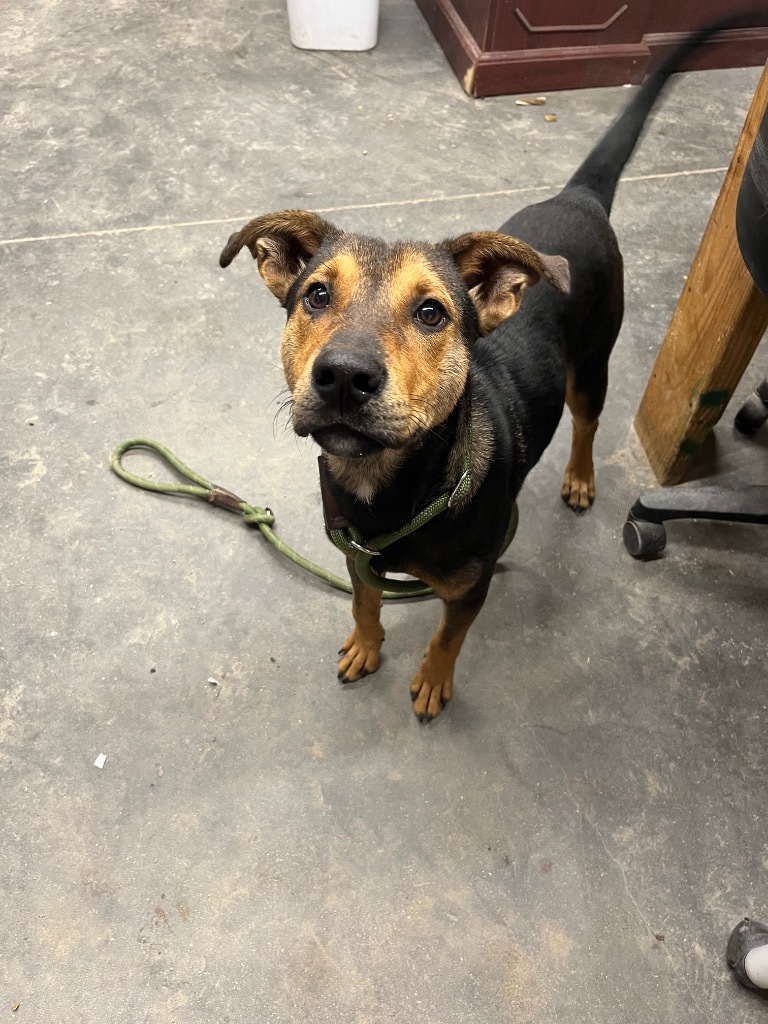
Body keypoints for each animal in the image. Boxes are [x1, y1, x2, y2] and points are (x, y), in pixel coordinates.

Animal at [222, 16, 765, 720]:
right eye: (315, 295)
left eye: (431, 312)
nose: (342, 375)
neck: (391, 490)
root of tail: (578, 198)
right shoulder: (356, 557)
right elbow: (366, 602)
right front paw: (366, 646)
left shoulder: (469, 586)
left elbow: (448, 639)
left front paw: (432, 683)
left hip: (592, 366)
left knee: (587, 424)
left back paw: (580, 479)